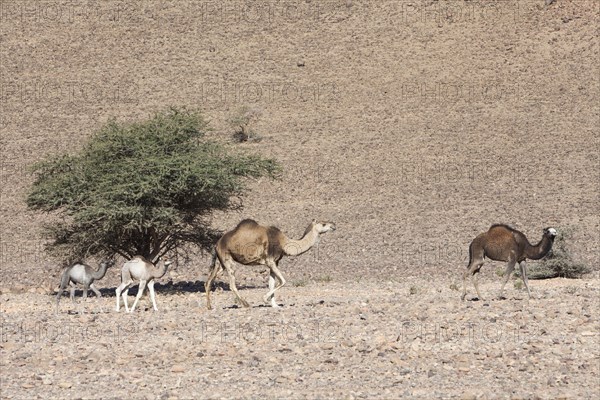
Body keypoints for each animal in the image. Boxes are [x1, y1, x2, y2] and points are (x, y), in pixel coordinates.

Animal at [205, 219, 338, 310]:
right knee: (232, 284)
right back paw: (246, 304)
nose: (333, 225)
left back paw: (210, 306)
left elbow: (271, 283)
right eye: (323, 224)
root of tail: (217, 244)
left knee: (209, 281)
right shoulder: (270, 260)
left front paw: (275, 305)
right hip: (227, 259)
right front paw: (265, 299)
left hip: (221, 263)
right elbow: (283, 281)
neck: (284, 243)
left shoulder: (274, 262)